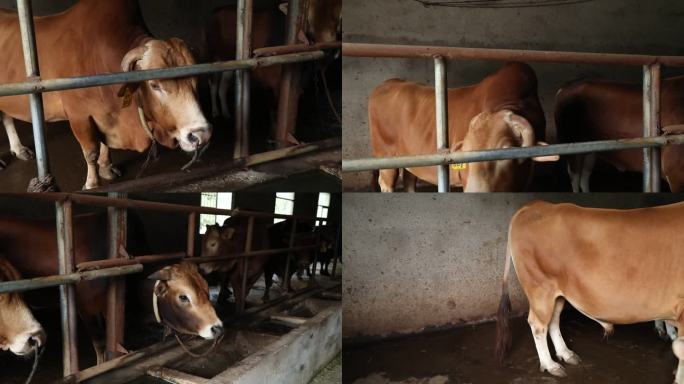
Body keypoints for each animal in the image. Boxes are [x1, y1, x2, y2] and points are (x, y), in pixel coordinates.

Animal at [0, 0, 211, 189]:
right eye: (154, 84)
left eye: (196, 80)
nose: (201, 135)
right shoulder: (79, 116)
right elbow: (91, 152)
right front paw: (92, 184)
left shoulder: (105, 116)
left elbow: (104, 145)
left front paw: (106, 167)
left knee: (6, 118)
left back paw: (18, 149)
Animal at [494, 201, 684, 380]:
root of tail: (536, 204)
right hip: (540, 288)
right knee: (538, 324)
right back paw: (550, 365)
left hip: (557, 294)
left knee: (553, 320)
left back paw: (566, 354)